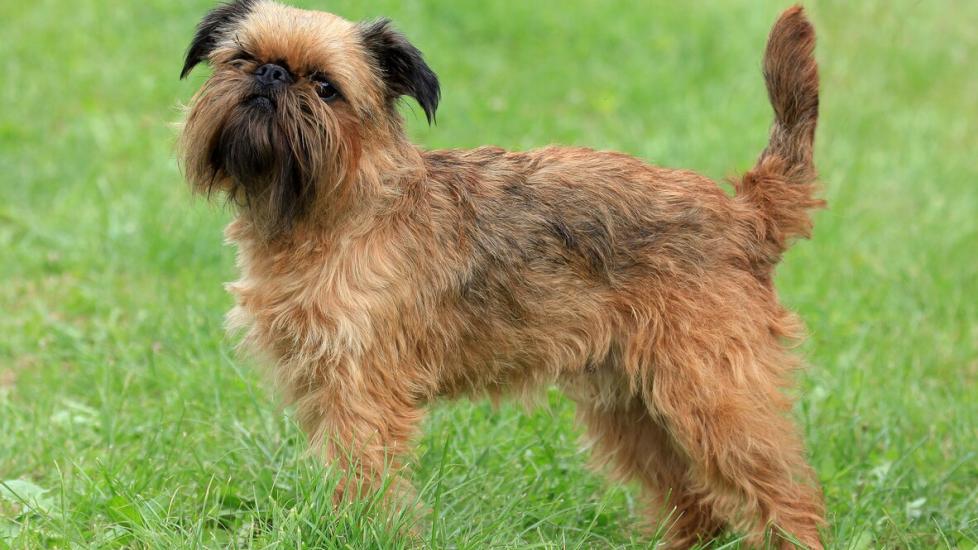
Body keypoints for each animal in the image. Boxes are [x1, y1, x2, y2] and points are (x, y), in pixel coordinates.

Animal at [177, 3, 824, 548]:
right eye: (241, 59)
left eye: (325, 86)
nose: (271, 76)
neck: (335, 208)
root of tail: (744, 214)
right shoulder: (321, 383)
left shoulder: (360, 389)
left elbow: (363, 475)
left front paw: (360, 533)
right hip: (632, 403)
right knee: (695, 499)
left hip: (713, 395)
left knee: (784, 497)